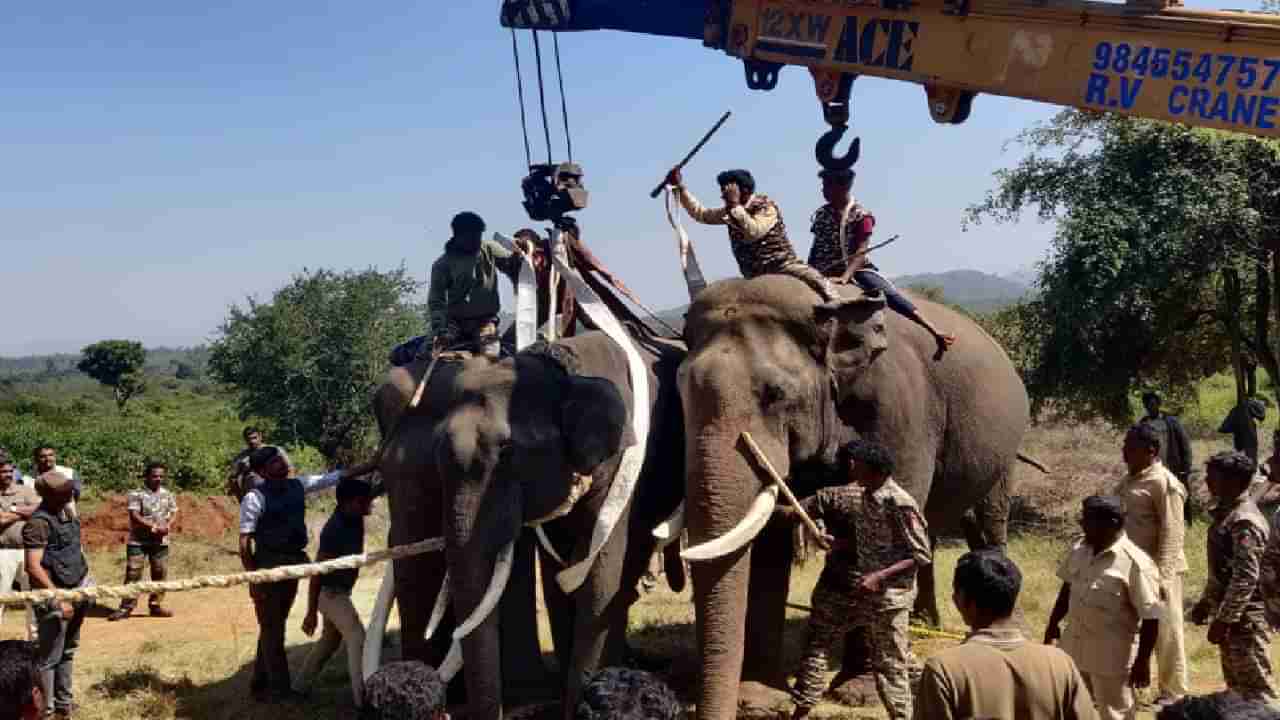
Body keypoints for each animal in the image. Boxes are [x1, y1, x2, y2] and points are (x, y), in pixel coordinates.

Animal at [371, 327, 691, 717]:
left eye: (508, 453)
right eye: (438, 461)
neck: (559, 367)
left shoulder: (622, 462)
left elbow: (597, 567)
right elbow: (560, 571)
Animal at [675, 275, 1034, 717]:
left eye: (776, 394)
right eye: (680, 392)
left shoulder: (899, 409)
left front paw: (856, 694)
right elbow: (771, 541)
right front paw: (758, 698)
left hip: (1006, 449)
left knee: (986, 521)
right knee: (929, 534)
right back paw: (922, 623)